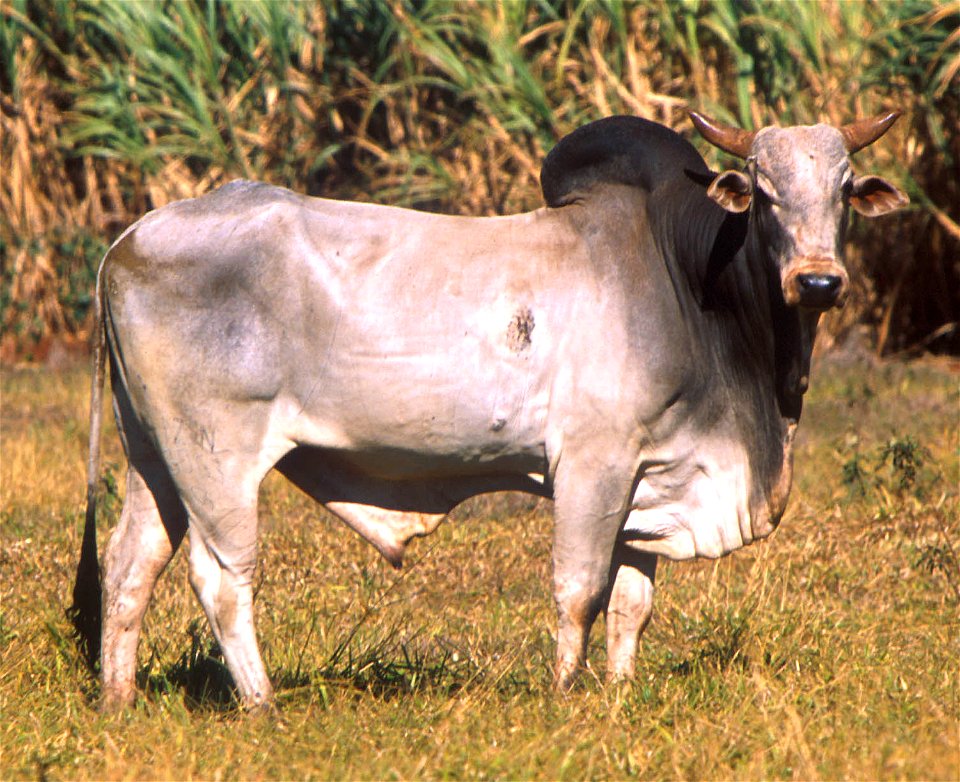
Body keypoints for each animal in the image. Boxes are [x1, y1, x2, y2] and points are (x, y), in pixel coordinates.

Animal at [73, 115, 908, 712]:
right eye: (764, 193)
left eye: (843, 191)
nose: (819, 280)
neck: (687, 282)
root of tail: (127, 240)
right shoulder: (594, 464)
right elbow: (580, 590)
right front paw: (564, 697)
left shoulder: (652, 478)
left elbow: (631, 605)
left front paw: (618, 696)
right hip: (216, 455)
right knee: (222, 577)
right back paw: (262, 704)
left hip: (154, 455)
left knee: (129, 565)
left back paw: (118, 701)